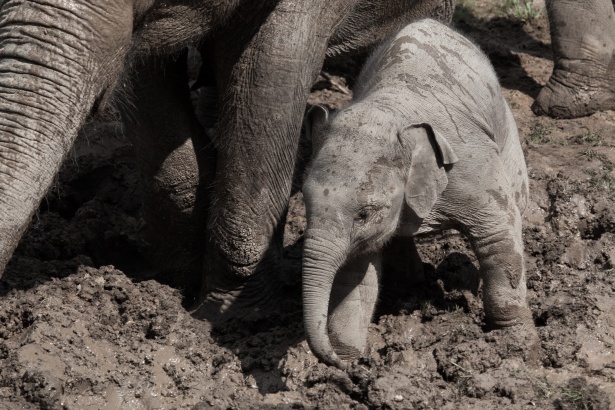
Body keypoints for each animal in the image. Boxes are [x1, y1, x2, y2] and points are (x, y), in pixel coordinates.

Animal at [304, 19, 536, 368]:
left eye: (364, 213)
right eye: (304, 204)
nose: (334, 361)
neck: (389, 109)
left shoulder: (470, 161)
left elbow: (498, 231)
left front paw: (515, 340)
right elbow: (357, 273)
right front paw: (349, 358)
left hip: (506, 130)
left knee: (517, 203)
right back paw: (414, 283)